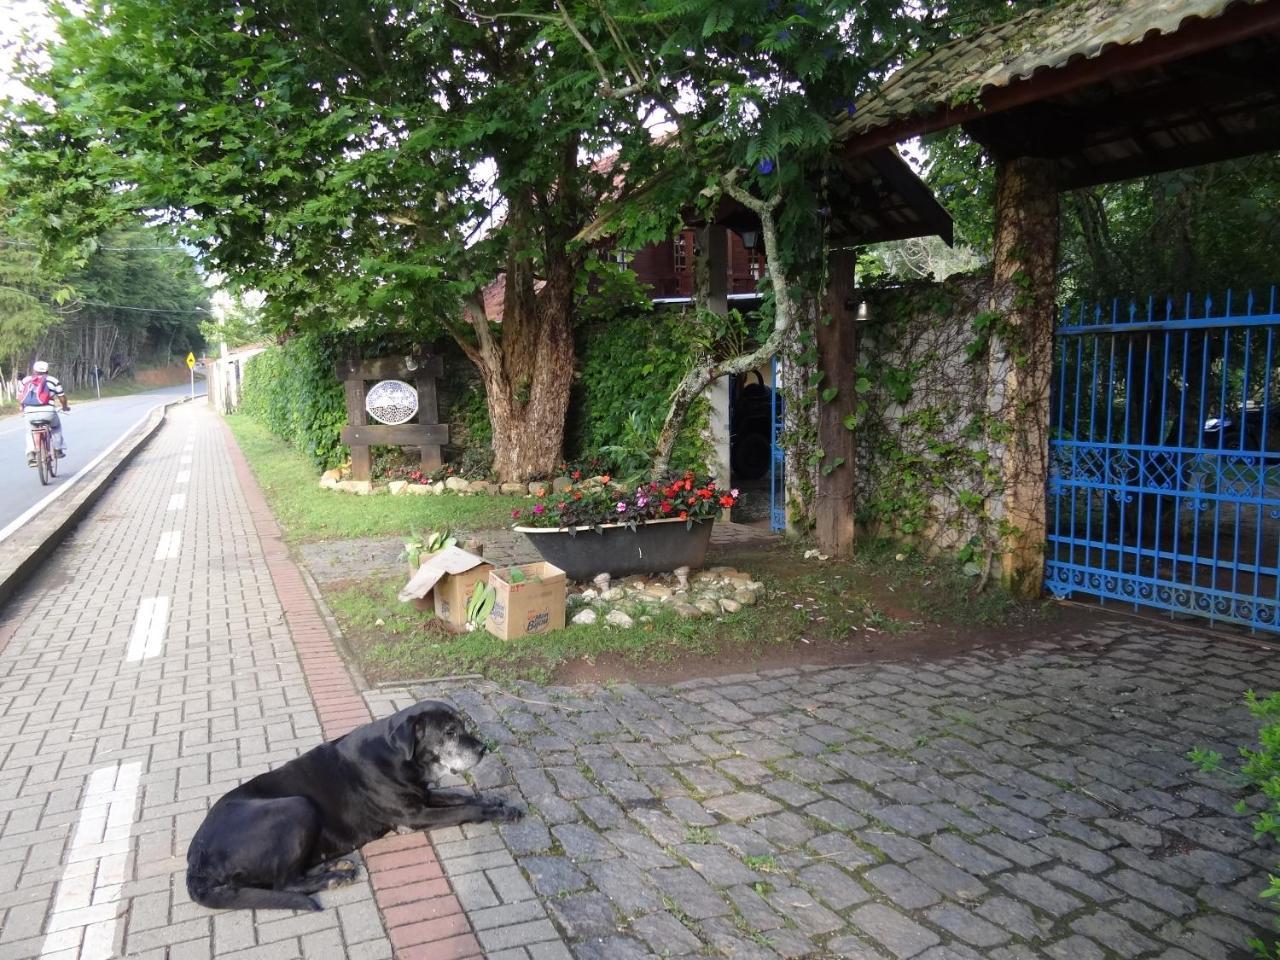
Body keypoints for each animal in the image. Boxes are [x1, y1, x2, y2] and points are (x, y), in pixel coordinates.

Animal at [184, 701, 519, 911]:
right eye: (450, 732)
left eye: (462, 725)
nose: (483, 748)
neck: (399, 756)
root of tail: (196, 859)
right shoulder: (413, 816)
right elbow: (464, 809)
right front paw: (496, 811)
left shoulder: (423, 798)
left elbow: (463, 797)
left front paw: (497, 802)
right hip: (297, 807)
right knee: (284, 883)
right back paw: (333, 878)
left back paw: (334, 866)